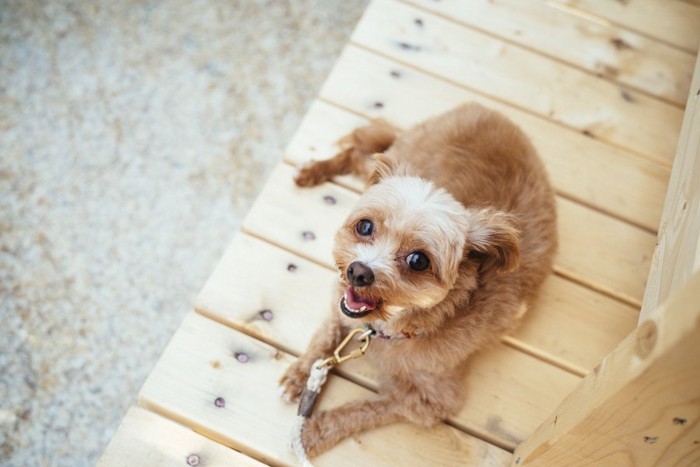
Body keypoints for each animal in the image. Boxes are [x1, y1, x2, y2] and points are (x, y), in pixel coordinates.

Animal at [278, 102, 556, 458]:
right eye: (365, 226)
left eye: (418, 261)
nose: (358, 271)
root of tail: (486, 110)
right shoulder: (339, 304)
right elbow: (323, 338)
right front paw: (299, 373)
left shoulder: (432, 402)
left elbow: (364, 409)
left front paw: (311, 433)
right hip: (399, 154)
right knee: (359, 151)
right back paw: (311, 171)